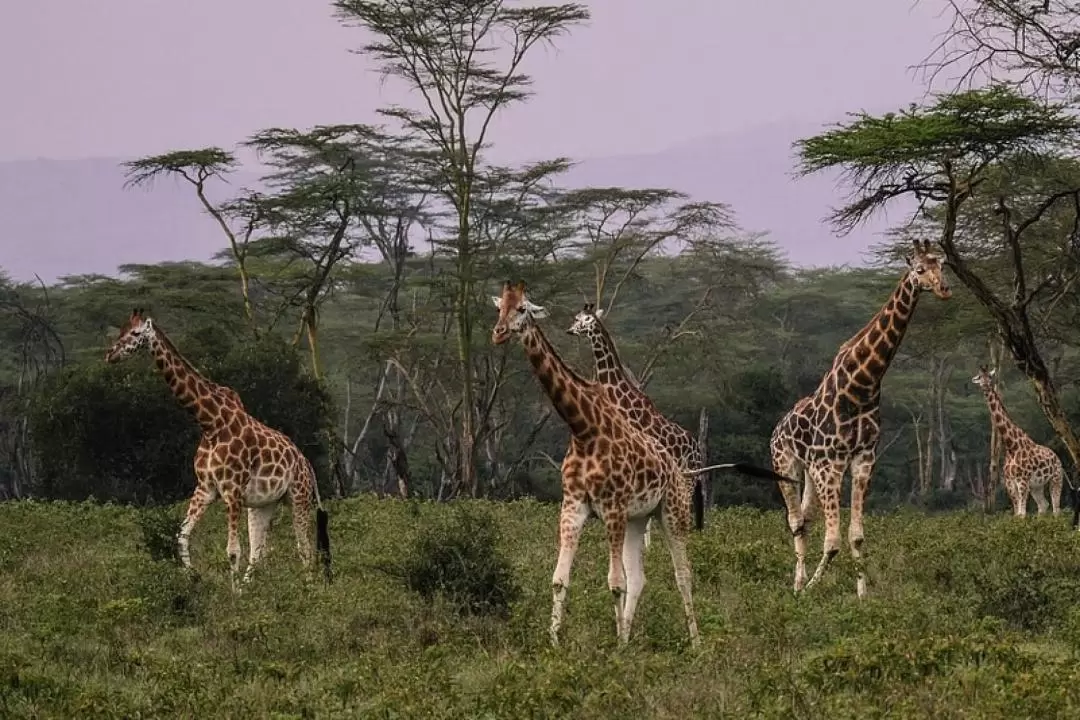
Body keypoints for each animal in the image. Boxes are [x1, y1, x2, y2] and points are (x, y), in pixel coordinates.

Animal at [106, 308, 332, 587]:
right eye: (121, 330)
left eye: (136, 333)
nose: (110, 354)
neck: (210, 424)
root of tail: (306, 464)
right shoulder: (205, 488)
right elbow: (182, 537)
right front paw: (193, 577)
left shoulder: (232, 490)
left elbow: (233, 550)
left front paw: (232, 594)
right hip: (263, 504)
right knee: (259, 551)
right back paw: (250, 588)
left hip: (298, 496)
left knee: (305, 548)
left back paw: (308, 588)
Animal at [734, 239, 954, 600]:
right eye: (920, 269)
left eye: (943, 264)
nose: (944, 289)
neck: (863, 385)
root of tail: (777, 428)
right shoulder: (831, 464)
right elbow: (833, 541)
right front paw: (811, 588)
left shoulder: (862, 459)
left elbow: (856, 536)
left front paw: (862, 595)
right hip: (786, 465)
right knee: (795, 521)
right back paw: (797, 585)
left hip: (809, 472)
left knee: (805, 519)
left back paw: (800, 581)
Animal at [972, 367, 1062, 518]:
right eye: (979, 377)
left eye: (989, 377)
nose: (985, 386)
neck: (1011, 446)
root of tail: (1056, 456)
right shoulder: (1010, 483)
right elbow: (1017, 514)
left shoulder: (1022, 480)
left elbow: (1022, 514)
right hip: (1036, 486)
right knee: (1043, 505)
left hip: (1056, 478)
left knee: (1056, 507)